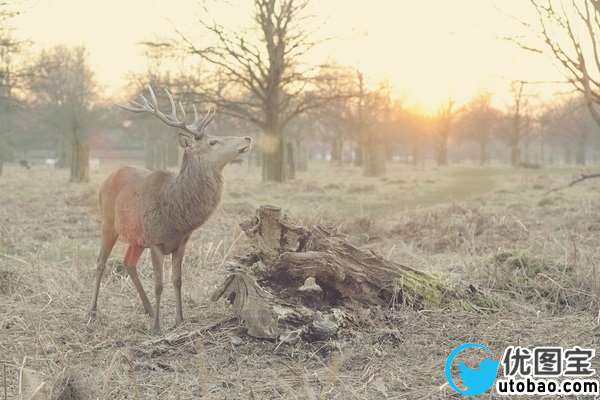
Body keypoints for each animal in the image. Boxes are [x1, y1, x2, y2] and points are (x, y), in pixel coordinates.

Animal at [89, 86, 251, 334]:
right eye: (213, 142)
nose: (247, 137)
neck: (176, 216)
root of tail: (108, 177)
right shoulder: (155, 240)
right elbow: (159, 284)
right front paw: (157, 327)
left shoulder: (181, 241)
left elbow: (177, 279)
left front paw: (179, 319)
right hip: (108, 222)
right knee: (100, 262)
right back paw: (93, 312)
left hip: (137, 238)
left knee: (128, 263)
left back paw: (147, 309)